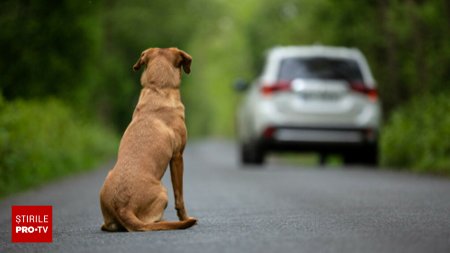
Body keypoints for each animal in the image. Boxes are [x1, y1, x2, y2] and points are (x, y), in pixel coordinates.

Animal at [99, 47, 196, 231]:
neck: (158, 88)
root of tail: (123, 208)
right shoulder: (177, 157)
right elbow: (179, 197)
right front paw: (184, 217)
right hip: (163, 192)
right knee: (152, 222)